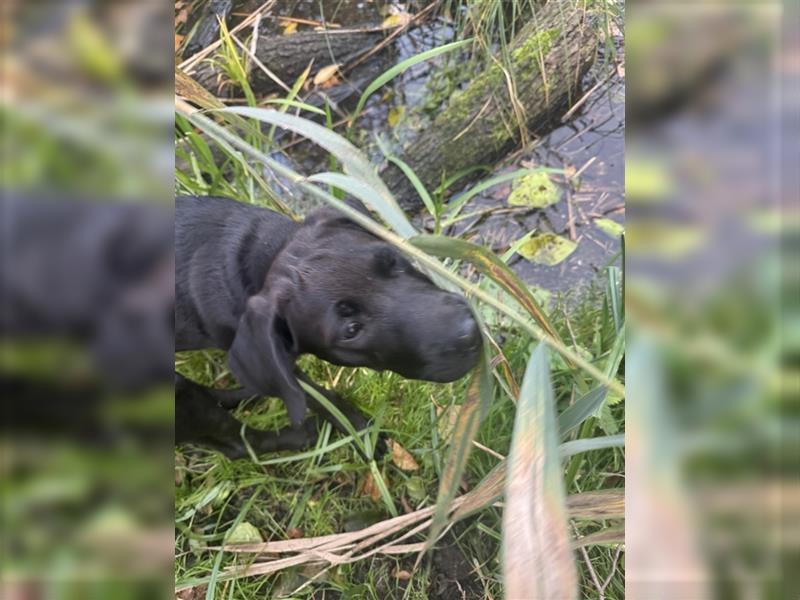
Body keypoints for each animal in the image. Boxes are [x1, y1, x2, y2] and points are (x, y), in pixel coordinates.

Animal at [177, 195, 482, 458]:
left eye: (392, 260)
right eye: (351, 331)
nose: (468, 332)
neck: (263, 252)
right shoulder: (283, 367)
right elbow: (323, 400)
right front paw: (362, 434)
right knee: (239, 445)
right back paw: (303, 435)